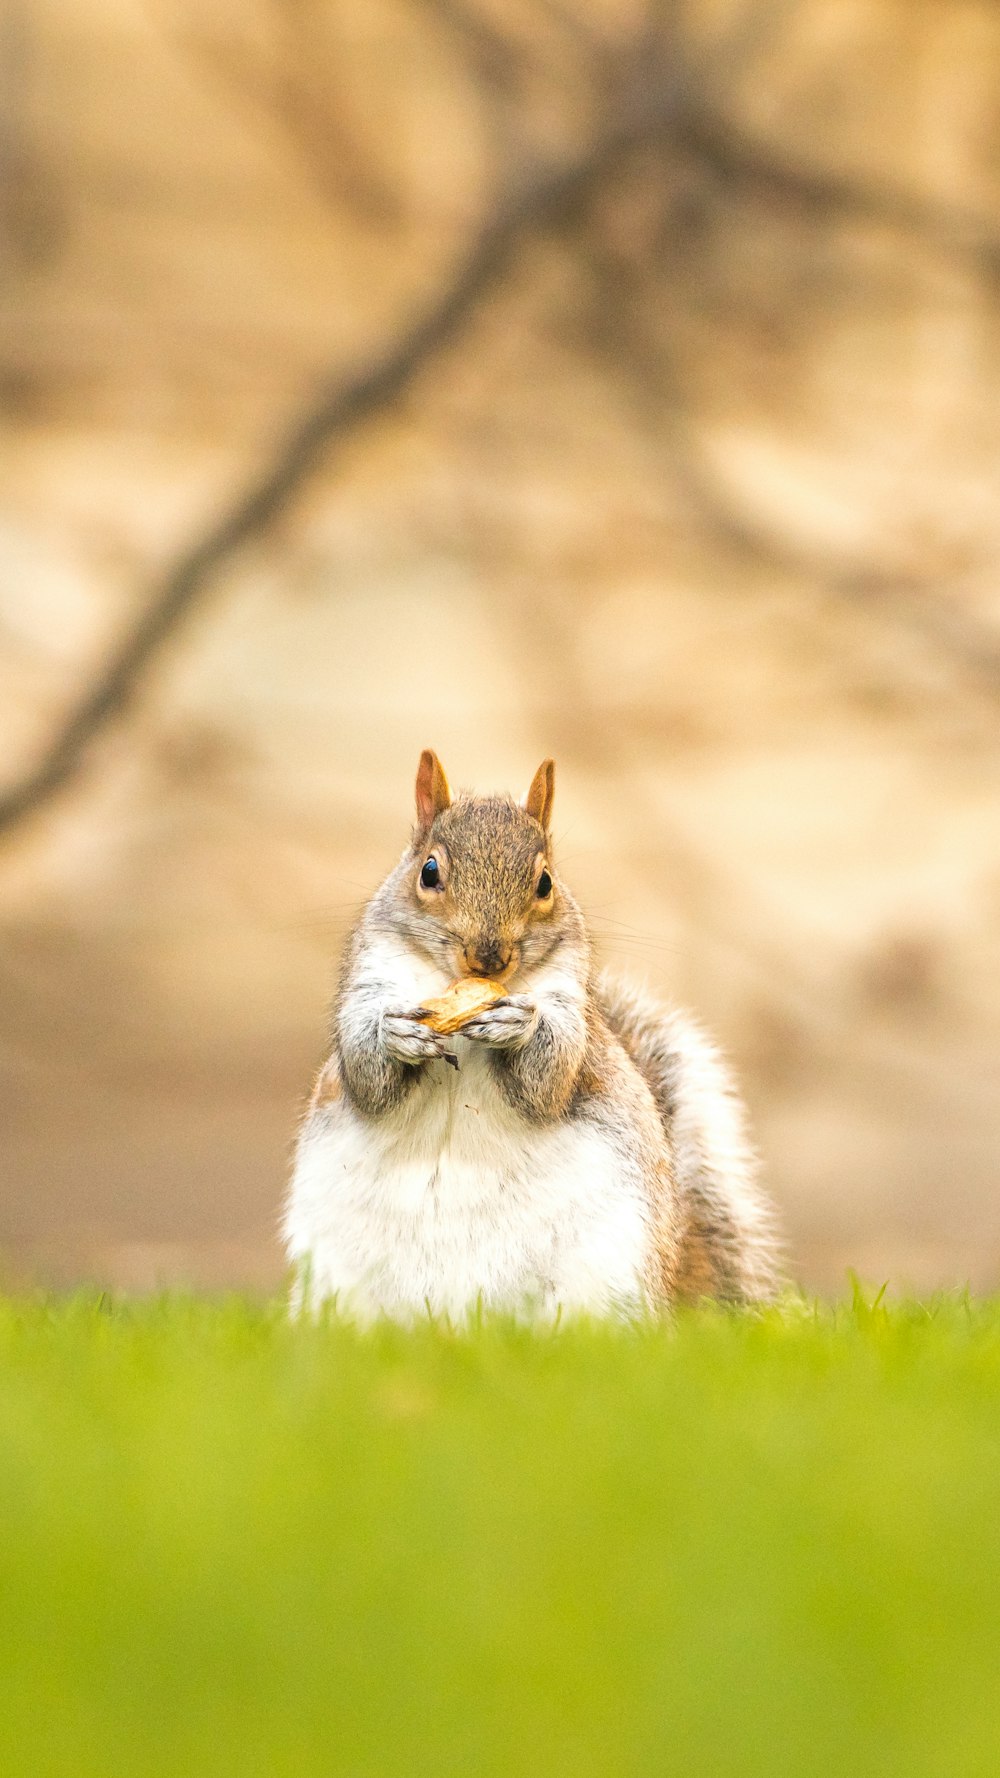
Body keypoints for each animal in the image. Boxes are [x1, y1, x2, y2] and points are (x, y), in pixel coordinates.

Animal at [281, 750, 779, 1322]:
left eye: (544, 883)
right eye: (429, 871)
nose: (488, 957)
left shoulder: (569, 1010)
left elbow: (549, 1078)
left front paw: (518, 1026)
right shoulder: (366, 987)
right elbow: (367, 1077)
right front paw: (395, 1035)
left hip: (604, 1273)